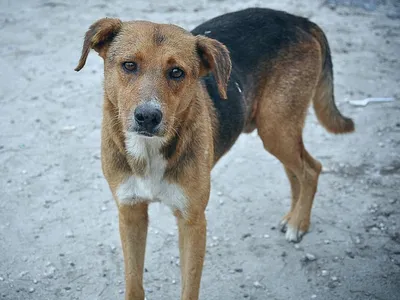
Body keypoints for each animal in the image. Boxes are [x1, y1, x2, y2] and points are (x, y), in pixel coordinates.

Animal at [74, 7, 354, 300]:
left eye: (176, 72)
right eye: (129, 65)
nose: (148, 117)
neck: (148, 151)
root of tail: (296, 19)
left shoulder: (193, 222)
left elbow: (189, 288)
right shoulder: (130, 214)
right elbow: (133, 284)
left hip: (277, 128)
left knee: (311, 169)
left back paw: (299, 223)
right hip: (277, 131)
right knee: (297, 170)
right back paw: (293, 217)